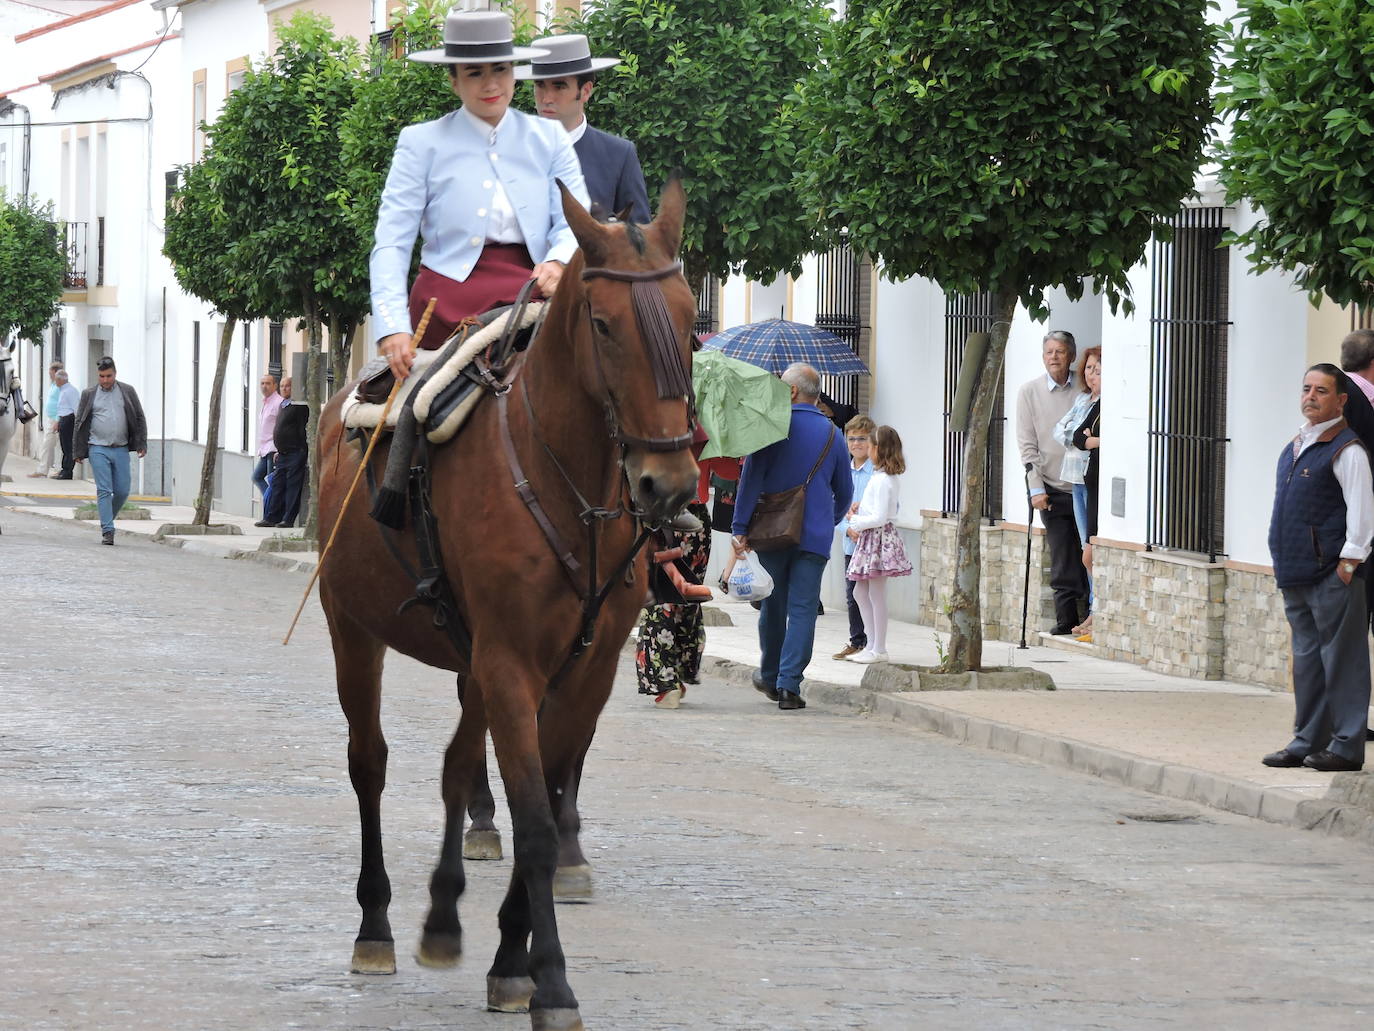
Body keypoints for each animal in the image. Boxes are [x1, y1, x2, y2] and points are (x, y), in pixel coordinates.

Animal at [314, 181, 692, 1028]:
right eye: (604, 324)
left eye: (691, 316)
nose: (670, 484)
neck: (569, 483)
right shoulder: (512, 662)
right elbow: (535, 824)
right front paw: (549, 979)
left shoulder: (581, 672)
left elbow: (542, 801)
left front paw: (510, 961)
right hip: (354, 629)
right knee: (369, 763)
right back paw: (377, 925)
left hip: (473, 660)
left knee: (458, 766)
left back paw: (443, 915)